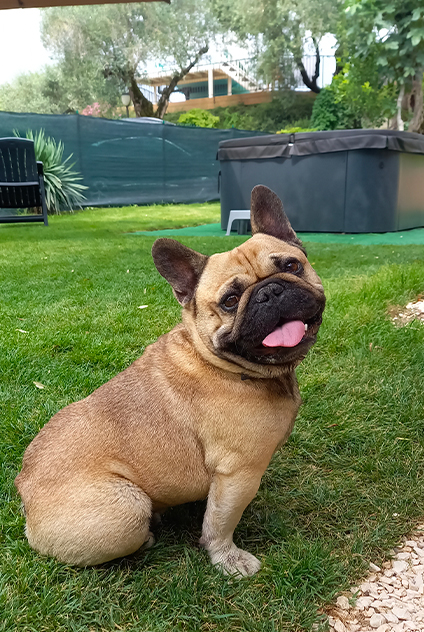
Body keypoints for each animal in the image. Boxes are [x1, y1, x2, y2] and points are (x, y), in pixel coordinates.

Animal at [15, 185, 325, 576]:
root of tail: (24, 491)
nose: (270, 292)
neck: (221, 363)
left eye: (291, 265)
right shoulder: (237, 472)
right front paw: (227, 558)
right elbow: (220, 523)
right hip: (127, 508)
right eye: (230, 300)